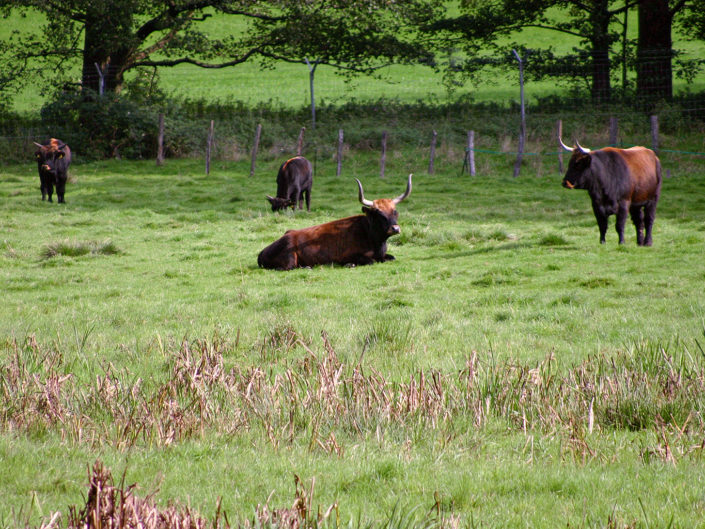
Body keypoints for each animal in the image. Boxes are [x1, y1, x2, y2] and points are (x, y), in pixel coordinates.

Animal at [258, 174, 412, 270]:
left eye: (395, 211)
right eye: (379, 213)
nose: (395, 228)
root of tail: (261, 253)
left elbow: (391, 258)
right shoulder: (348, 256)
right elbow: (370, 261)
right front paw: (350, 265)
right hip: (289, 259)